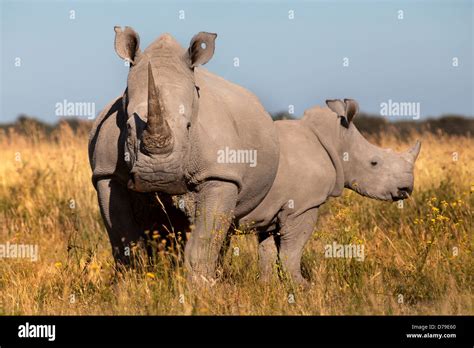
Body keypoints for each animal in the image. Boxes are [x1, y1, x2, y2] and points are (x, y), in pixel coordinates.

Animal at [95, 27, 282, 280]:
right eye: (128, 127)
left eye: (188, 127)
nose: (158, 178)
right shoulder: (106, 173)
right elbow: (125, 239)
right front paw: (129, 284)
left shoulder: (220, 174)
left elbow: (204, 240)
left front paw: (200, 287)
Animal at [241, 98, 422, 286]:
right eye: (374, 163)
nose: (406, 189)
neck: (335, 139)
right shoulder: (302, 206)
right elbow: (291, 250)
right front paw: (303, 286)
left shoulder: (272, 208)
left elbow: (266, 251)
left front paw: (266, 285)